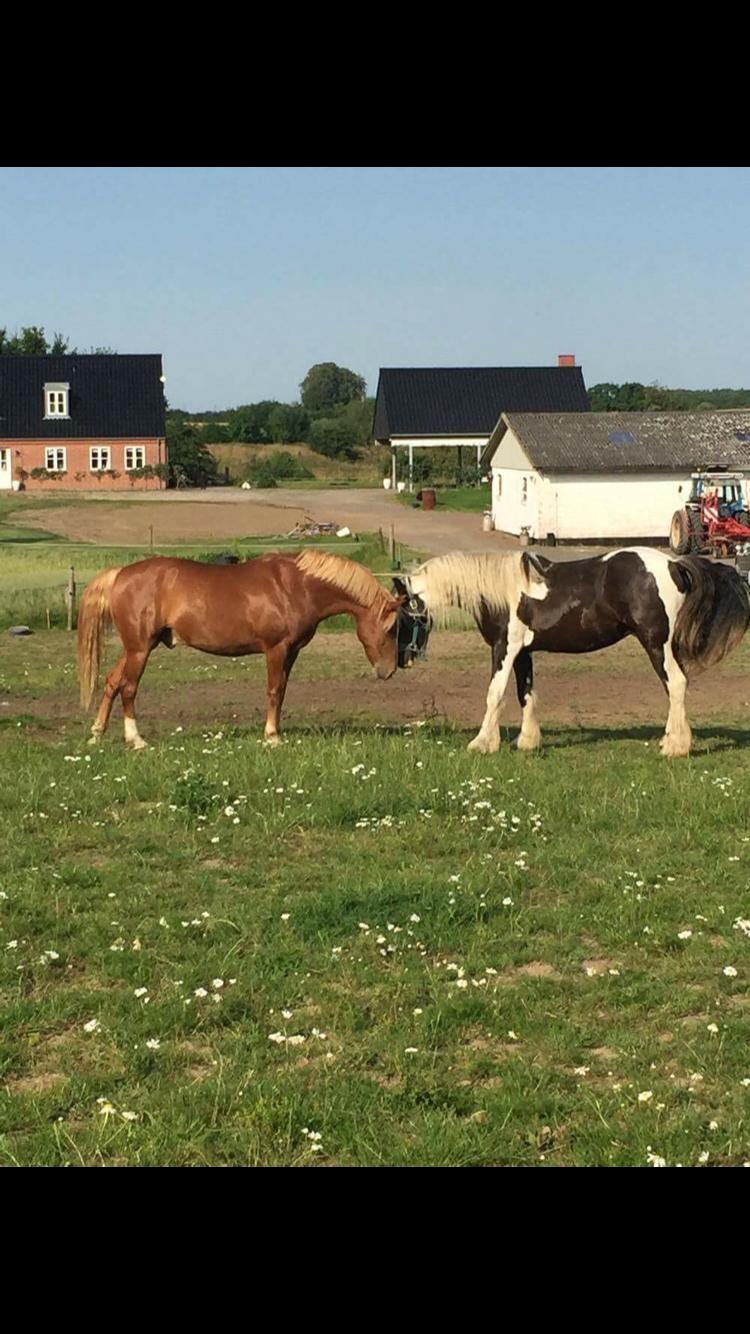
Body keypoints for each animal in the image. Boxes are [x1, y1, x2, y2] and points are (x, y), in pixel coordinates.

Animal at [78, 546, 408, 747]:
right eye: (392, 627)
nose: (389, 670)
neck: (295, 586)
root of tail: (120, 574)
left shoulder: (292, 651)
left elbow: (282, 690)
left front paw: (276, 732)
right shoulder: (276, 648)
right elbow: (273, 690)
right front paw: (272, 736)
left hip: (136, 648)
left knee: (112, 682)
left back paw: (97, 734)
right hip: (140, 649)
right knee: (129, 687)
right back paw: (136, 740)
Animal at [395, 544, 741, 757]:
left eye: (401, 614)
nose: (403, 660)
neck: (500, 590)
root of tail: (673, 564)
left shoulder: (504, 648)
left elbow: (495, 694)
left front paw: (482, 743)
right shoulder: (523, 652)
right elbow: (525, 694)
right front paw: (527, 742)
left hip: (657, 644)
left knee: (676, 684)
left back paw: (674, 747)